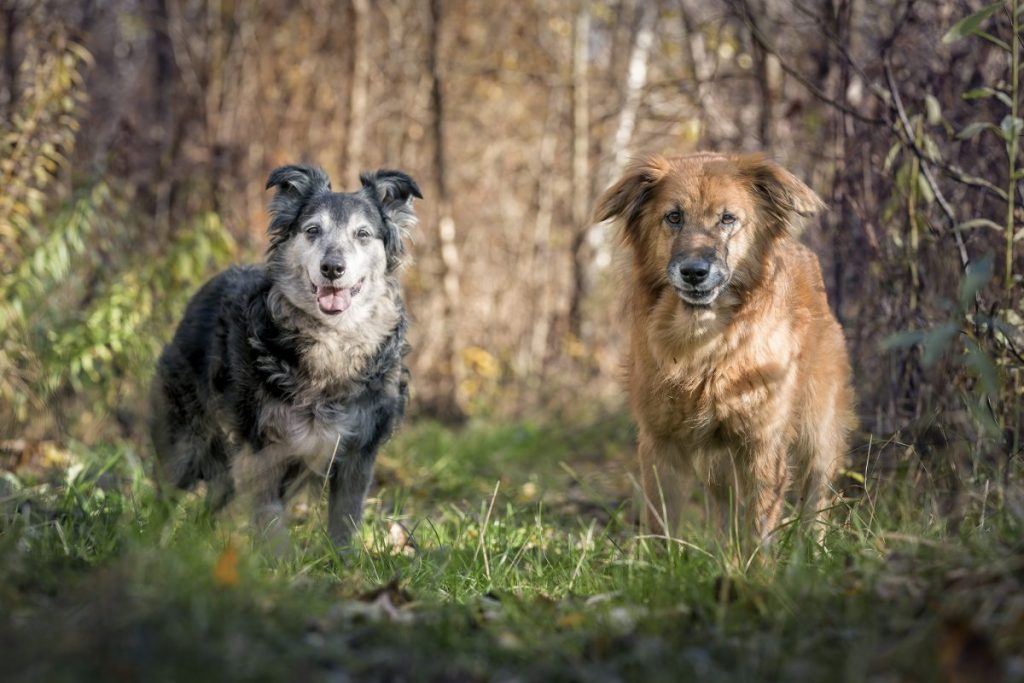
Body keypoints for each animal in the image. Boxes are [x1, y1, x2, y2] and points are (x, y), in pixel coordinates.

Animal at [149, 163, 419, 544]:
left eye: (363, 234)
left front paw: (342, 559)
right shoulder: (260, 448)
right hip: (184, 444)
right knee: (164, 498)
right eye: (312, 230)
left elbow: (344, 522)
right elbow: (270, 522)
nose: (332, 268)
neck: (331, 342)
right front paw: (277, 558)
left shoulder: (358, 453)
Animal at [598, 150, 851, 544]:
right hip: (719, 463)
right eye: (674, 216)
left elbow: (759, 526)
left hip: (818, 434)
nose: (693, 272)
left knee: (815, 500)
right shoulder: (660, 442)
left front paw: (757, 562)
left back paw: (812, 549)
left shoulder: (762, 443)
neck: (703, 346)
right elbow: (662, 525)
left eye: (727, 218)